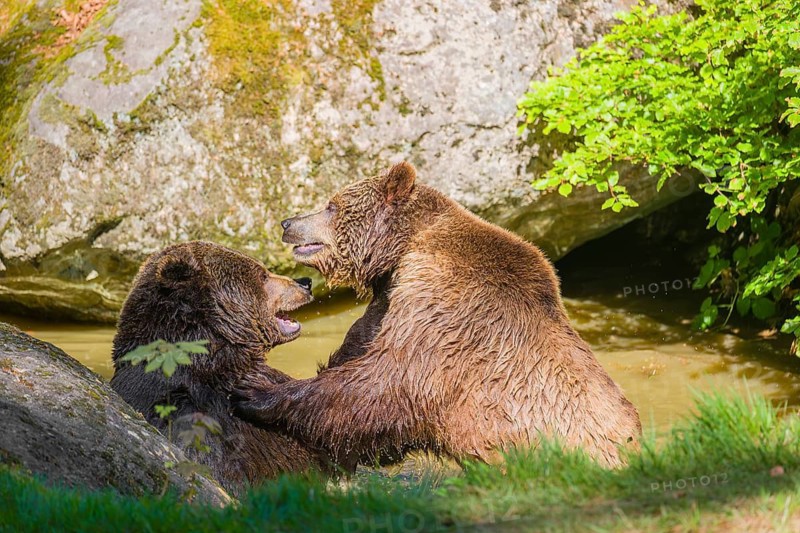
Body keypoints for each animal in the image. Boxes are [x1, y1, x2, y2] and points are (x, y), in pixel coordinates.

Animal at [233, 162, 642, 468]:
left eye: (332, 205)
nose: (288, 223)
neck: (403, 248)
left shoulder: (443, 309)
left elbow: (383, 383)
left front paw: (257, 390)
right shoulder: (388, 301)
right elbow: (359, 351)